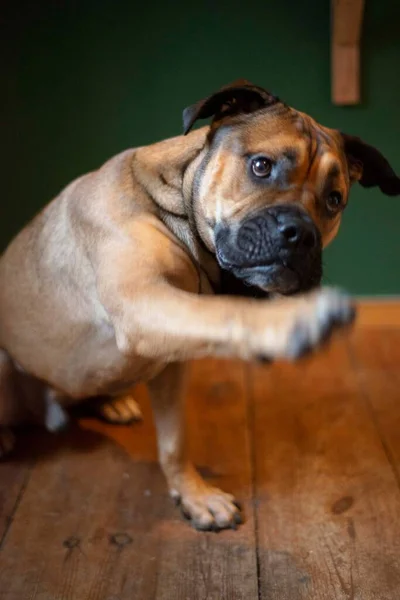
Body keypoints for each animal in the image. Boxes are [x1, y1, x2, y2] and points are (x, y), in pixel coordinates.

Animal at [0, 79, 400, 528]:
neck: (173, 206)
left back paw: (112, 401)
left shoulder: (171, 360)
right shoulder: (144, 302)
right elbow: (227, 311)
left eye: (334, 200)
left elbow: (174, 442)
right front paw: (293, 321)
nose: (301, 235)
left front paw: (195, 496)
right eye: (261, 166)